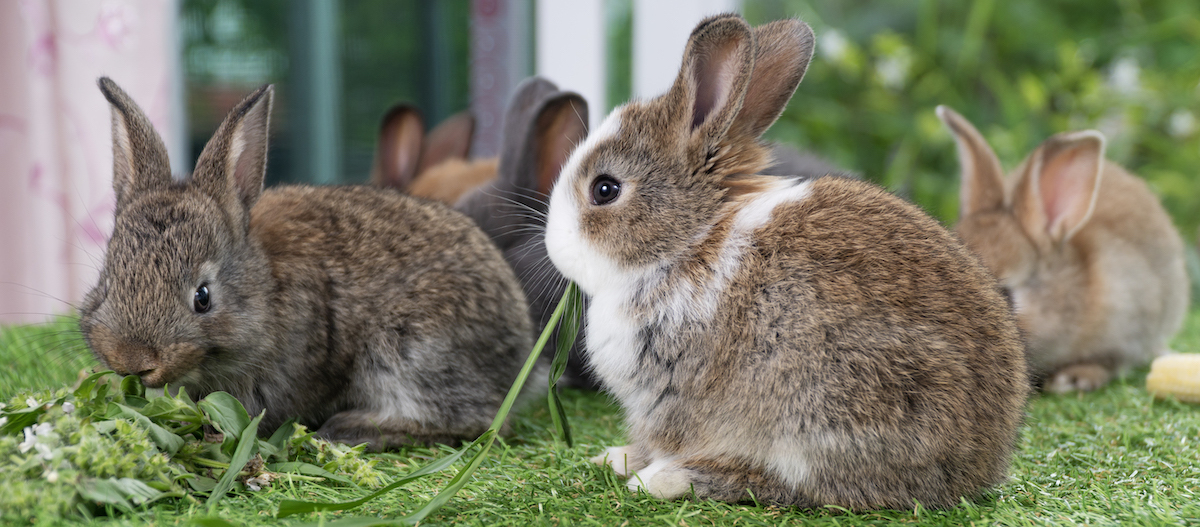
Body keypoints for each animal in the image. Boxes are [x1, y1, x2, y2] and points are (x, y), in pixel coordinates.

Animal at [79, 78, 535, 448]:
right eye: (108, 281)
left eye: (203, 297)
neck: (266, 289)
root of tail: (520, 344)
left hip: (410, 348)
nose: (132, 361)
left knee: (477, 419)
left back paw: (352, 429)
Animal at [540, 15, 1027, 511]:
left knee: (799, 487)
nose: (552, 246)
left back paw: (668, 480)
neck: (691, 242)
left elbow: (666, 438)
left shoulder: (670, 394)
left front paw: (639, 469)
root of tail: (976, 467)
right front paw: (615, 458)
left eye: (605, 189)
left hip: (825, 414)